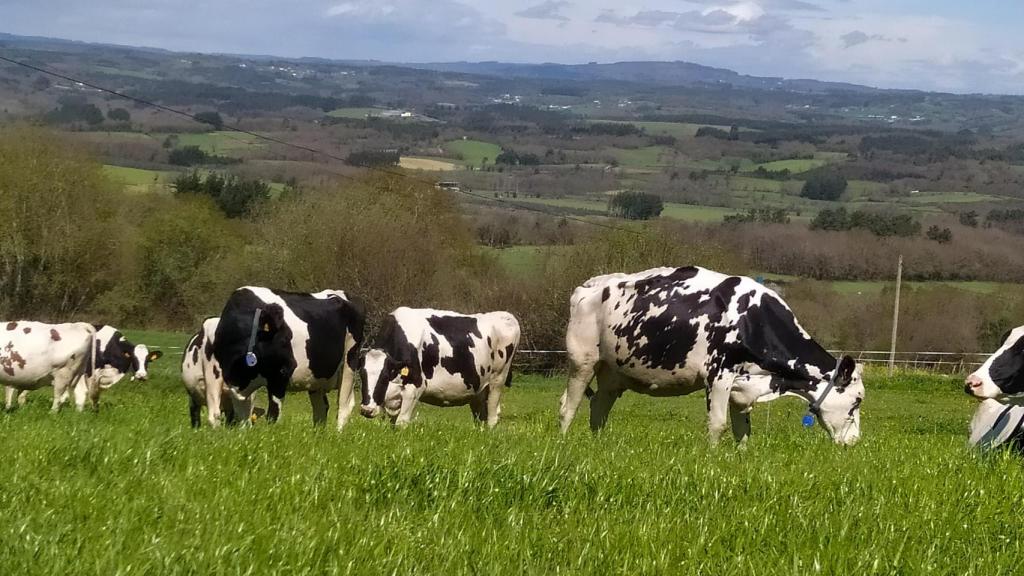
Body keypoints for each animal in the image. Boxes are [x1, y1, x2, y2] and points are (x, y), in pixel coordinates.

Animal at [211, 287, 365, 429]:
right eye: (283, 336)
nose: (292, 363)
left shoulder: (278, 376)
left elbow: (273, 414)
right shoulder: (234, 383)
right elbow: (241, 416)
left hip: (349, 362)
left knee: (344, 404)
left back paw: (338, 433)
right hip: (316, 374)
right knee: (321, 406)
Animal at [358, 307, 520, 427]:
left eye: (385, 375)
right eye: (362, 374)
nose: (367, 410)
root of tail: (506, 316)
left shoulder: (415, 388)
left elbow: (401, 423)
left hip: (497, 381)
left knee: (492, 417)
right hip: (479, 389)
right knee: (480, 418)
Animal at [559, 267, 865, 445]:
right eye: (857, 401)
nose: (855, 441)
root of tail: (590, 285)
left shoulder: (744, 387)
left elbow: (743, 431)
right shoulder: (719, 375)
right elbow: (717, 425)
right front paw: (713, 461)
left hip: (613, 375)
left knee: (598, 408)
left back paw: (598, 447)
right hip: (583, 362)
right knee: (567, 407)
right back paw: (563, 445)